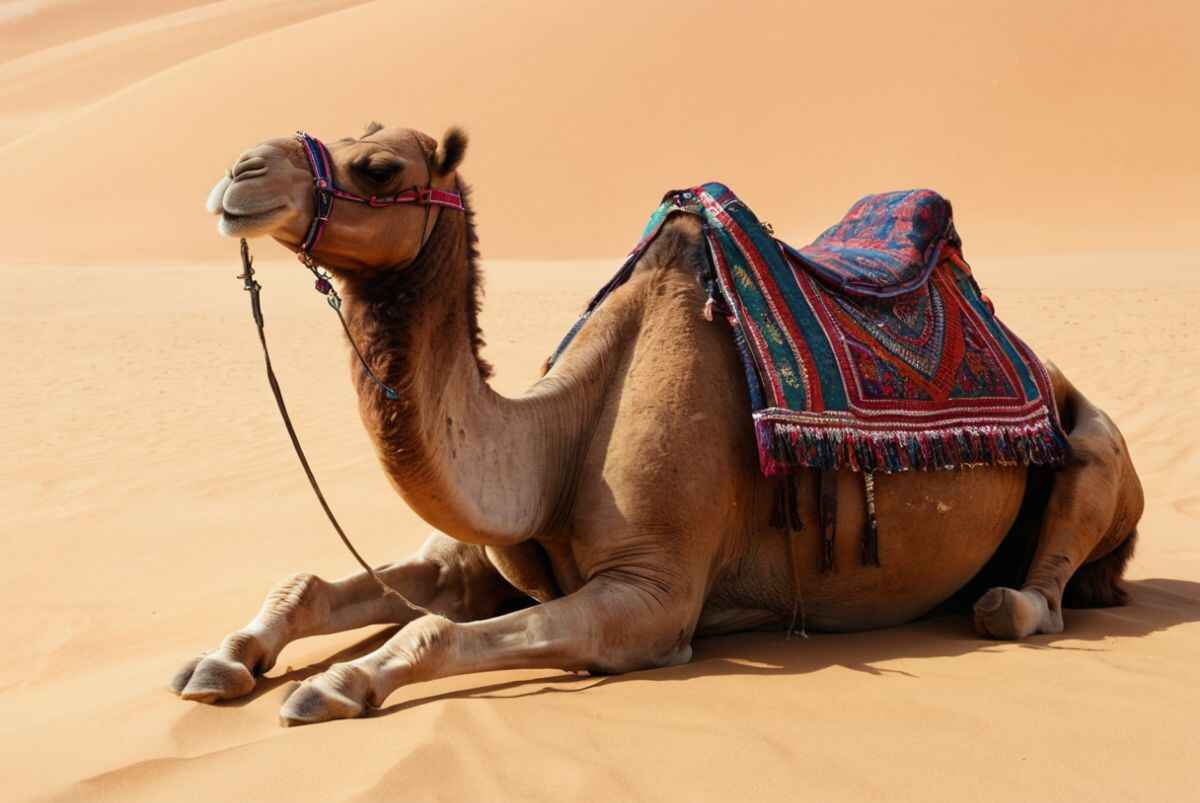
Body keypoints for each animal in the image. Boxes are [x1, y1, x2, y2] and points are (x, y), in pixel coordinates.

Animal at [174, 123, 1145, 726]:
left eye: (380, 167)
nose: (241, 171)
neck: (553, 438)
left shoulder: (655, 593)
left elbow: (431, 630)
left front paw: (336, 684)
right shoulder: (475, 561)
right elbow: (313, 585)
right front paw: (218, 660)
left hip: (1095, 445)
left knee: (1039, 587)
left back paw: (1007, 599)